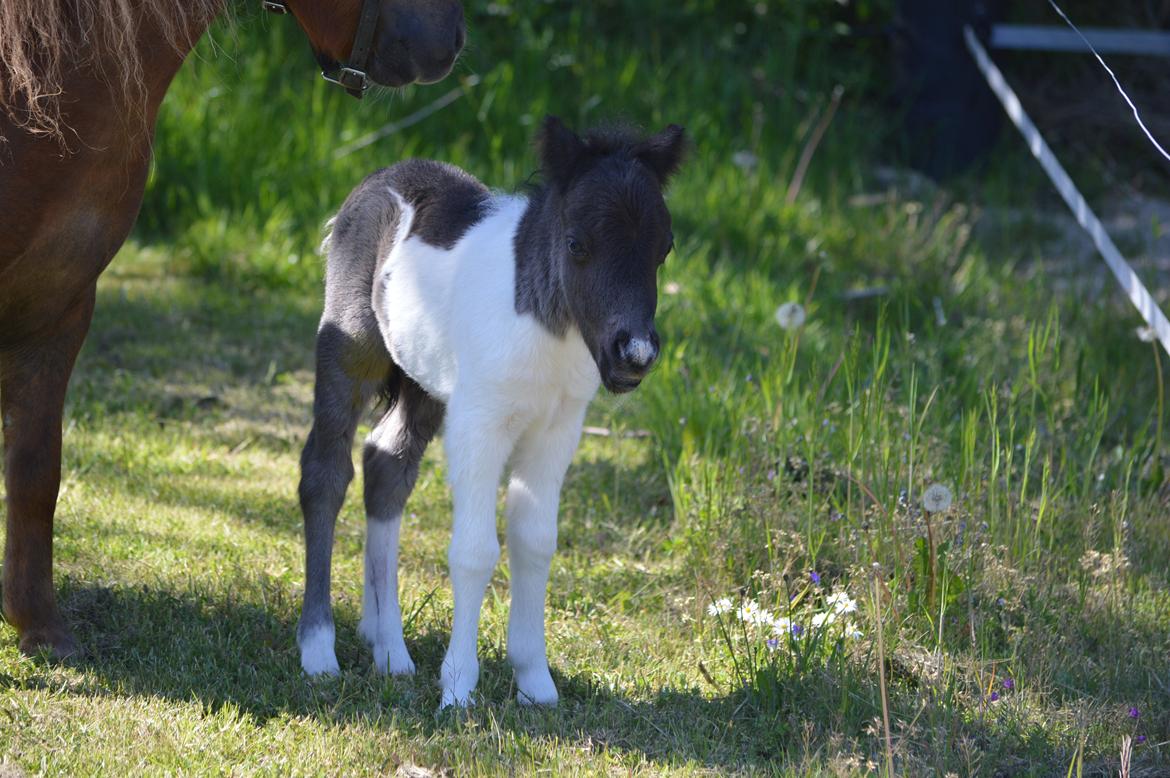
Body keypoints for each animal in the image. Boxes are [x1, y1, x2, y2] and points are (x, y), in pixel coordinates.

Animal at [297, 115, 683, 701]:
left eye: (664, 248)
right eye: (577, 244)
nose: (634, 355)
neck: (547, 327)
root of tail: (380, 178)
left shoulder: (556, 431)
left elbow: (535, 541)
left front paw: (536, 682)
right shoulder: (479, 424)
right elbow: (475, 551)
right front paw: (458, 687)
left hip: (423, 383)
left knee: (386, 464)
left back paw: (390, 650)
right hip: (350, 349)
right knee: (325, 472)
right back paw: (320, 650)